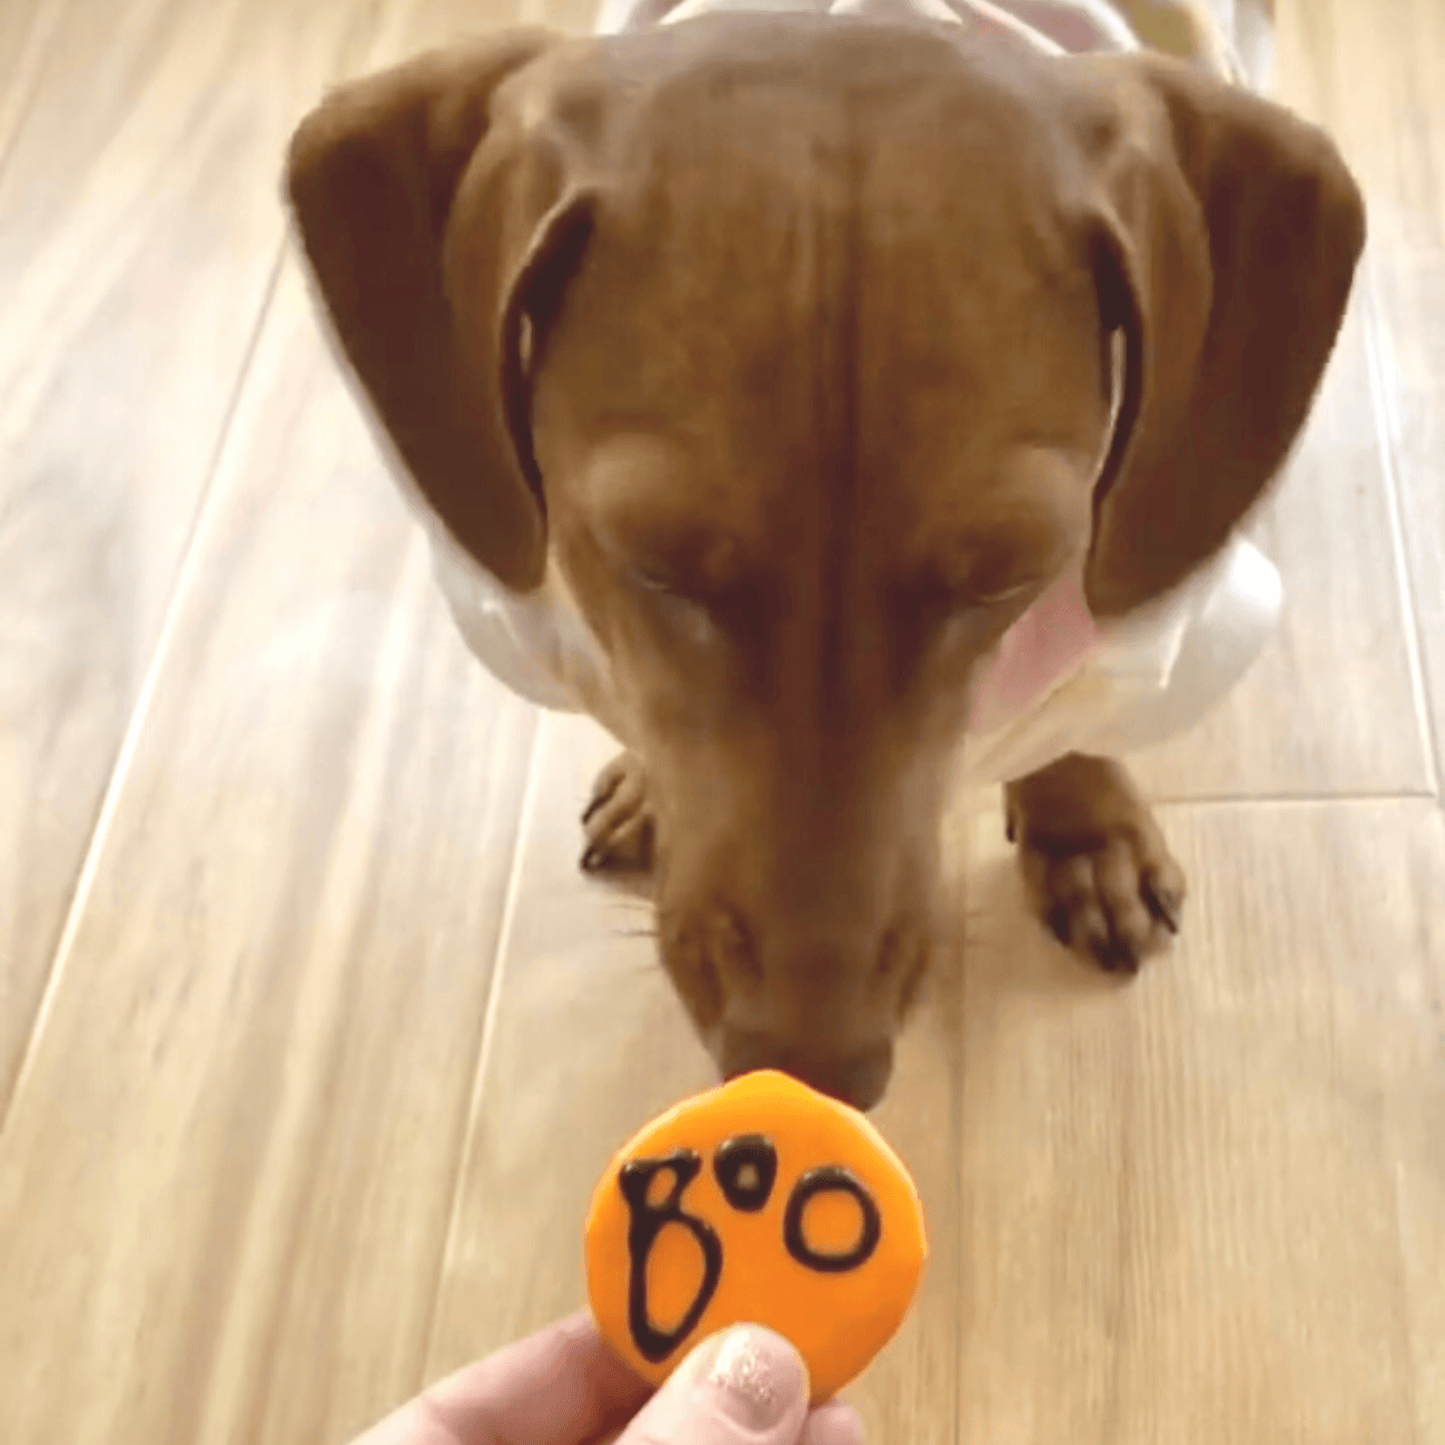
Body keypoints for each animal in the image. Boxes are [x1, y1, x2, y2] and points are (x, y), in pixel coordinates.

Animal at [287, 11, 1358, 1103]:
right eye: (654, 563)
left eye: (1007, 572)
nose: (810, 1067)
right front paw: (644, 779)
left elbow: (1080, 705)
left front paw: (1083, 828)